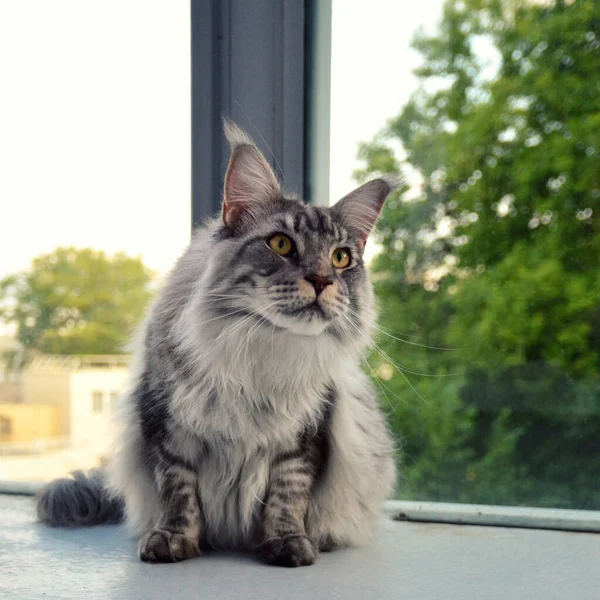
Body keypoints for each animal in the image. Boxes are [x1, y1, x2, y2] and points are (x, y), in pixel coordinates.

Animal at [34, 122, 398, 568]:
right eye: (281, 244)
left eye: (342, 258)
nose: (321, 280)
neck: (262, 348)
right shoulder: (168, 428)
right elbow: (179, 494)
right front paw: (173, 542)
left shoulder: (303, 439)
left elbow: (288, 495)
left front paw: (289, 544)